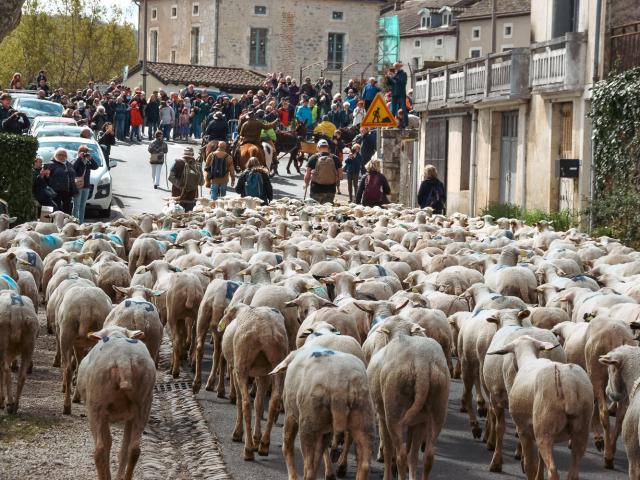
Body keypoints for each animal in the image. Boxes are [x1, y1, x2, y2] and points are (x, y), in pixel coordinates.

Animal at [77, 324, 156, 480]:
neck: (116, 333)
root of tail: (123, 359)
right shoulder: (130, 417)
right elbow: (123, 447)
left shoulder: (104, 415)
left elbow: (108, 442)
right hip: (144, 404)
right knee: (134, 449)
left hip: (95, 404)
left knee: (99, 450)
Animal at [490, 336, 596, 480]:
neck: (527, 359)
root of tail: (569, 384)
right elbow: (540, 460)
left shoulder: (523, 429)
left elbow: (530, 465)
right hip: (581, 430)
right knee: (573, 473)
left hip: (545, 427)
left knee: (552, 471)